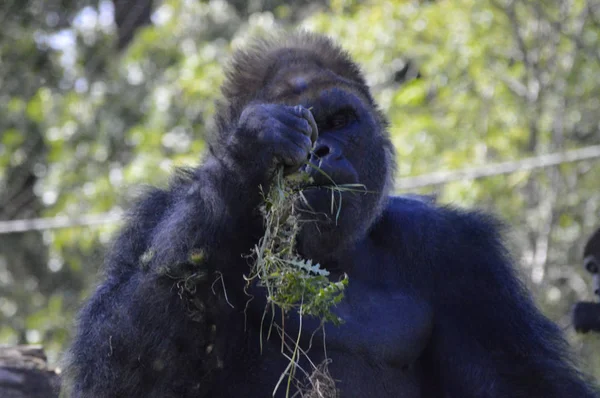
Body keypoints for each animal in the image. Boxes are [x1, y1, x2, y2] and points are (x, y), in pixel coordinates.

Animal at [63, 34, 596, 398]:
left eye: (340, 121)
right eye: (309, 124)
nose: (320, 150)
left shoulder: (460, 255)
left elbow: (521, 382)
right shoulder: (154, 215)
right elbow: (126, 370)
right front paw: (249, 152)